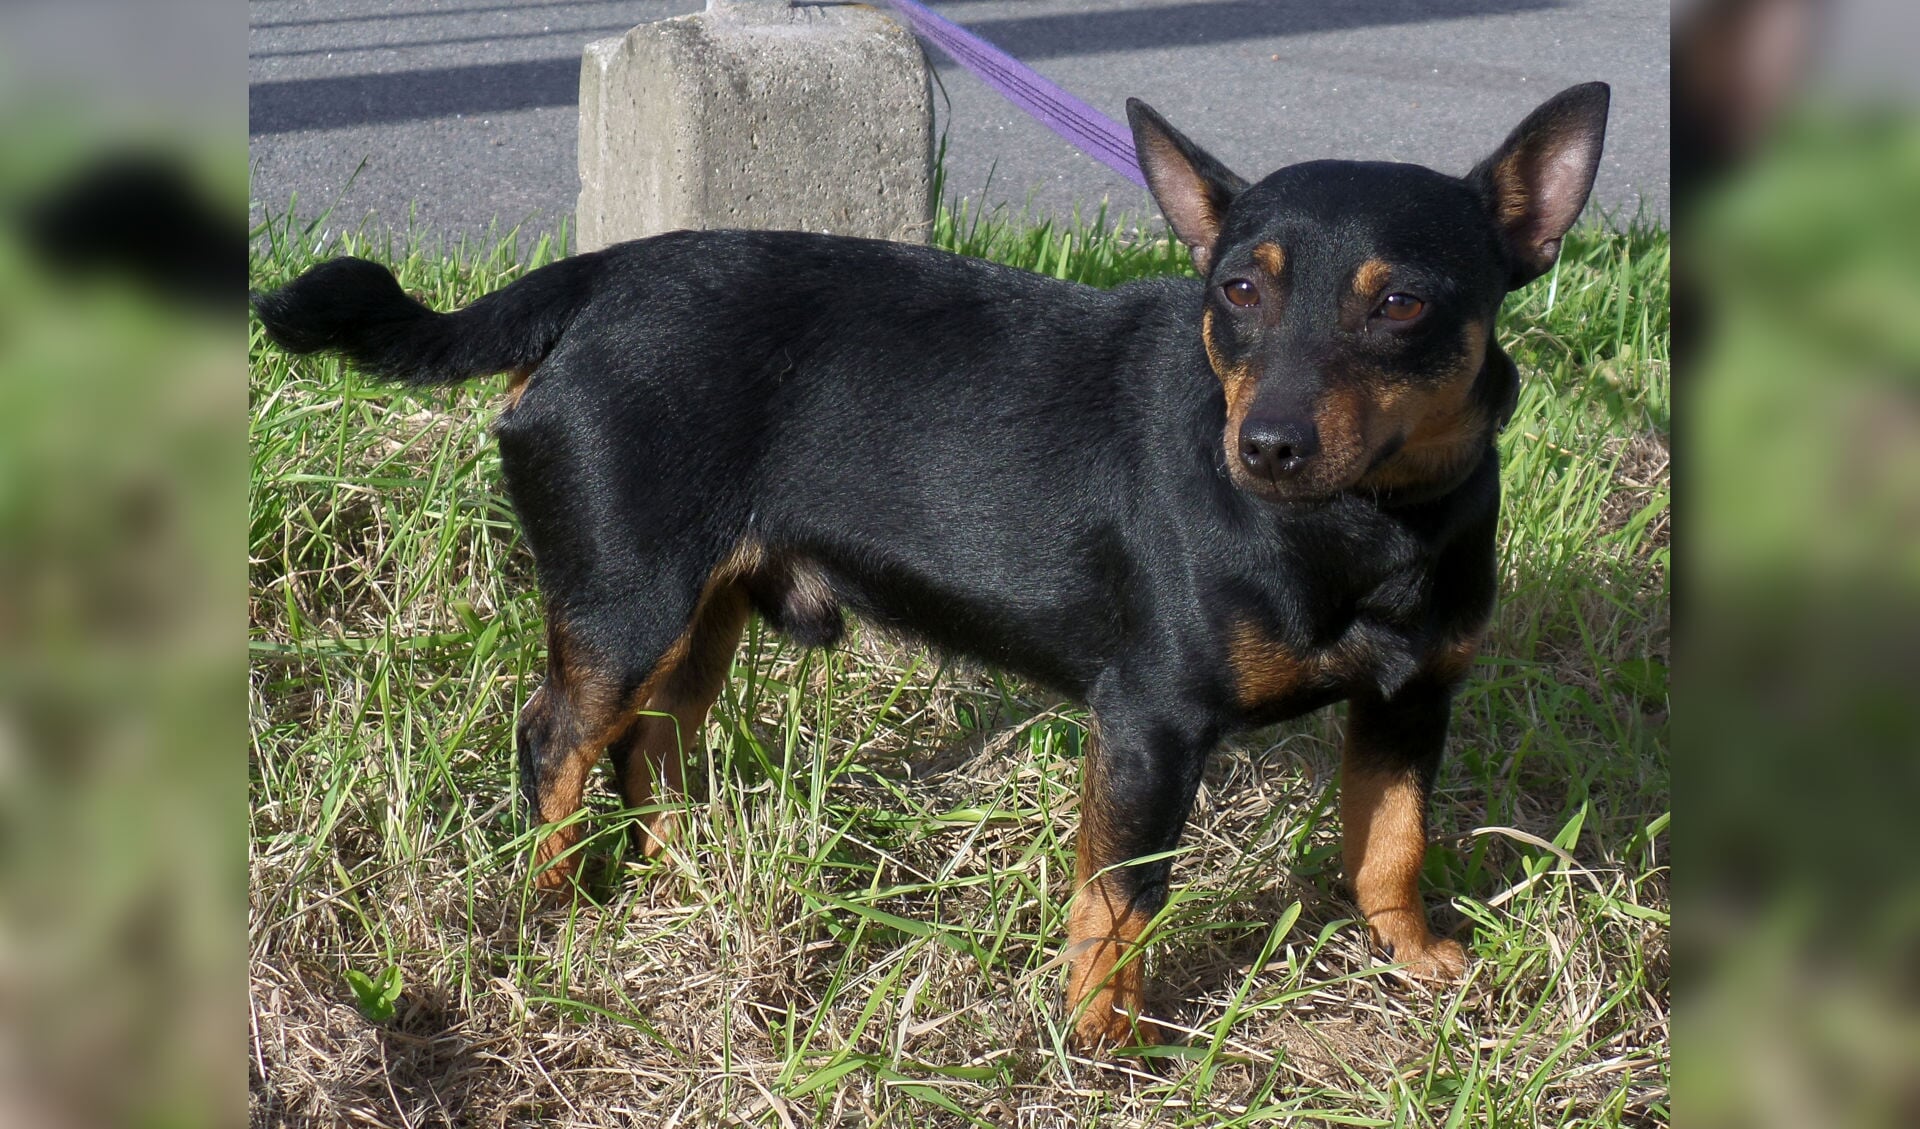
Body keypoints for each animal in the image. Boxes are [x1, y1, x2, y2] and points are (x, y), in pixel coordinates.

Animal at [255, 84, 1605, 1044]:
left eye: (1404, 303)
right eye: (1234, 291)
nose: (1264, 445)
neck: (1365, 524)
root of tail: (595, 277)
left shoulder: (1413, 703)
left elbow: (1390, 842)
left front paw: (1413, 959)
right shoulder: (1150, 725)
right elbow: (1121, 901)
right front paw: (1105, 1041)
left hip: (702, 614)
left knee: (652, 751)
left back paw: (676, 879)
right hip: (624, 605)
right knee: (558, 743)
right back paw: (551, 905)